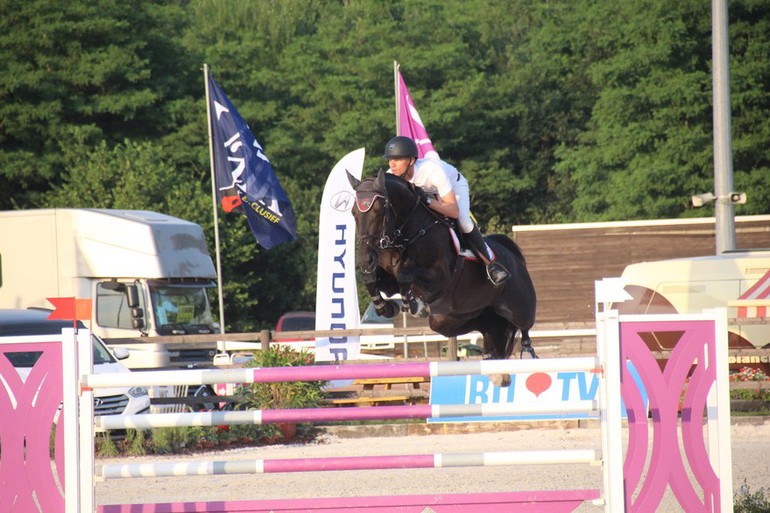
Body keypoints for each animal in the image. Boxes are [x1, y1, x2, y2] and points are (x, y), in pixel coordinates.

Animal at [344, 168, 536, 384]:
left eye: (379, 211)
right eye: (353, 213)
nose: (365, 260)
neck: (409, 233)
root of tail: (513, 256)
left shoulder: (440, 278)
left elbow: (404, 276)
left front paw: (413, 304)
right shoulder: (388, 280)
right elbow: (371, 280)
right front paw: (385, 307)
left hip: (517, 304)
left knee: (525, 324)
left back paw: (527, 352)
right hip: (455, 317)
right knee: (488, 326)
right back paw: (493, 365)